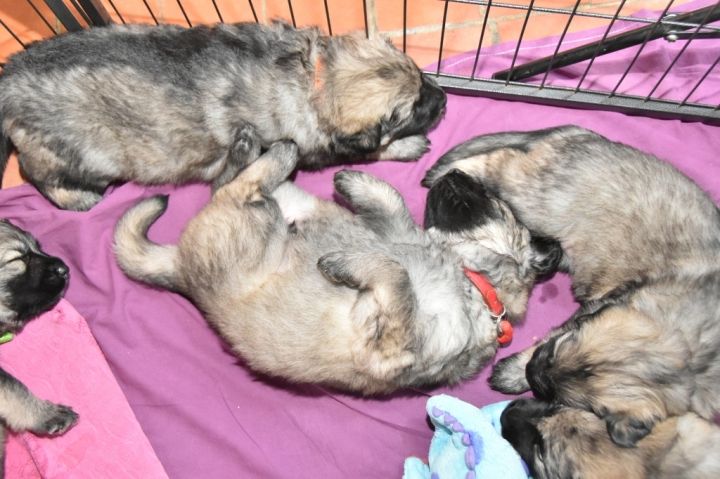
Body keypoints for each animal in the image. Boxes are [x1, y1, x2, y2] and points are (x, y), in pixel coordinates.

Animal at [0, 21, 446, 211]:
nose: (443, 100)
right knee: (34, 173)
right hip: (83, 154)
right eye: (411, 110)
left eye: (421, 73)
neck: (315, 80)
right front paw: (406, 145)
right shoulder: (317, 145)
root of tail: (9, 78)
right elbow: (368, 150)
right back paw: (77, 198)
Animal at [112, 141, 557, 395]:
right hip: (280, 209)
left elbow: (397, 275)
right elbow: (391, 206)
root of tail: (180, 268)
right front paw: (355, 180)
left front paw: (345, 262)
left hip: (251, 224)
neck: (472, 280)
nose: (453, 172)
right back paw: (252, 145)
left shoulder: (393, 340)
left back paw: (280, 150)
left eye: (493, 201)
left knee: (240, 186)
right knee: (232, 179)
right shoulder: (396, 230)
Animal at [422, 125, 720, 447]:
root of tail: (588, 136)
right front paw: (512, 373)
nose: (532, 372)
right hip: (535, 196)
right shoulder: (602, 306)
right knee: (498, 161)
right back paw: (447, 172)